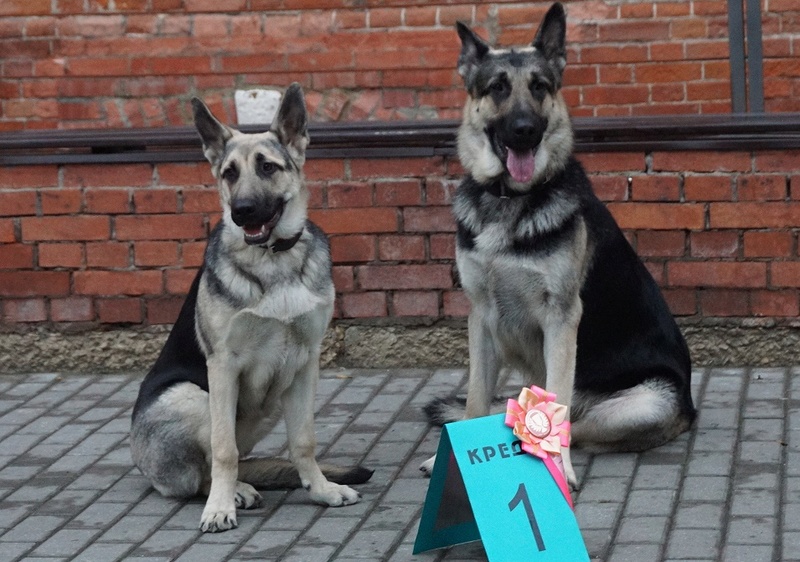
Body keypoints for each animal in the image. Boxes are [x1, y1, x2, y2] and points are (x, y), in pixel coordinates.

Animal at [130, 83, 372, 528]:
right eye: (229, 173)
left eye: (267, 167)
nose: (241, 212)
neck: (273, 258)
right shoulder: (223, 366)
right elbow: (223, 449)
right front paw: (219, 509)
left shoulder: (306, 363)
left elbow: (304, 440)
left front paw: (321, 490)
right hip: (193, 396)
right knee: (205, 472)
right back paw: (233, 493)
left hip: (271, 404)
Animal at [424, 3, 692, 486]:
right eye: (497, 88)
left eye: (540, 87)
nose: (525, 130)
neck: (510, 200)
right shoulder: (481, 318)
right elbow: (474, 400)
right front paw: (445, 462)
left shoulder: (562, 319)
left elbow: (557, 406)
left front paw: (557, 467)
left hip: (643, 404)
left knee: (574, 421)